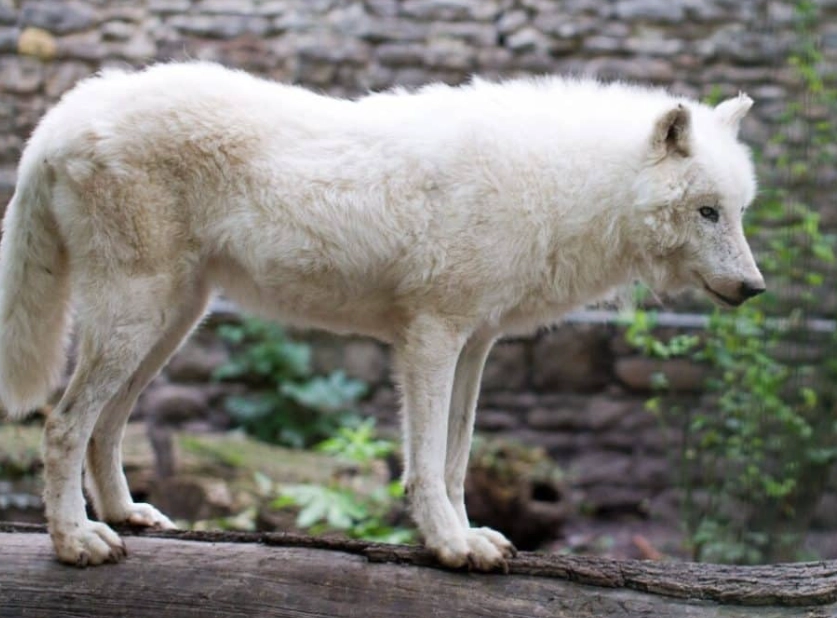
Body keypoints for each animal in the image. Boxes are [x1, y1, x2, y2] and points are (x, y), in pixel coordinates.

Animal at [0, 62, 763, 570]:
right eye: (706, 212)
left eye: (738, 211)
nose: (755, 288)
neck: (559, 185)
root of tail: (62, 114)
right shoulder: (431, 338)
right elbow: (424, 462)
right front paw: (450, 545)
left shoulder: (475, 345)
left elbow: (457, 460)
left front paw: (469, 535)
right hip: (137, 319)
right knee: (63, 423)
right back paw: (76, 541)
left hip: (169, 323)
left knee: (105, 426)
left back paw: (126, 515)